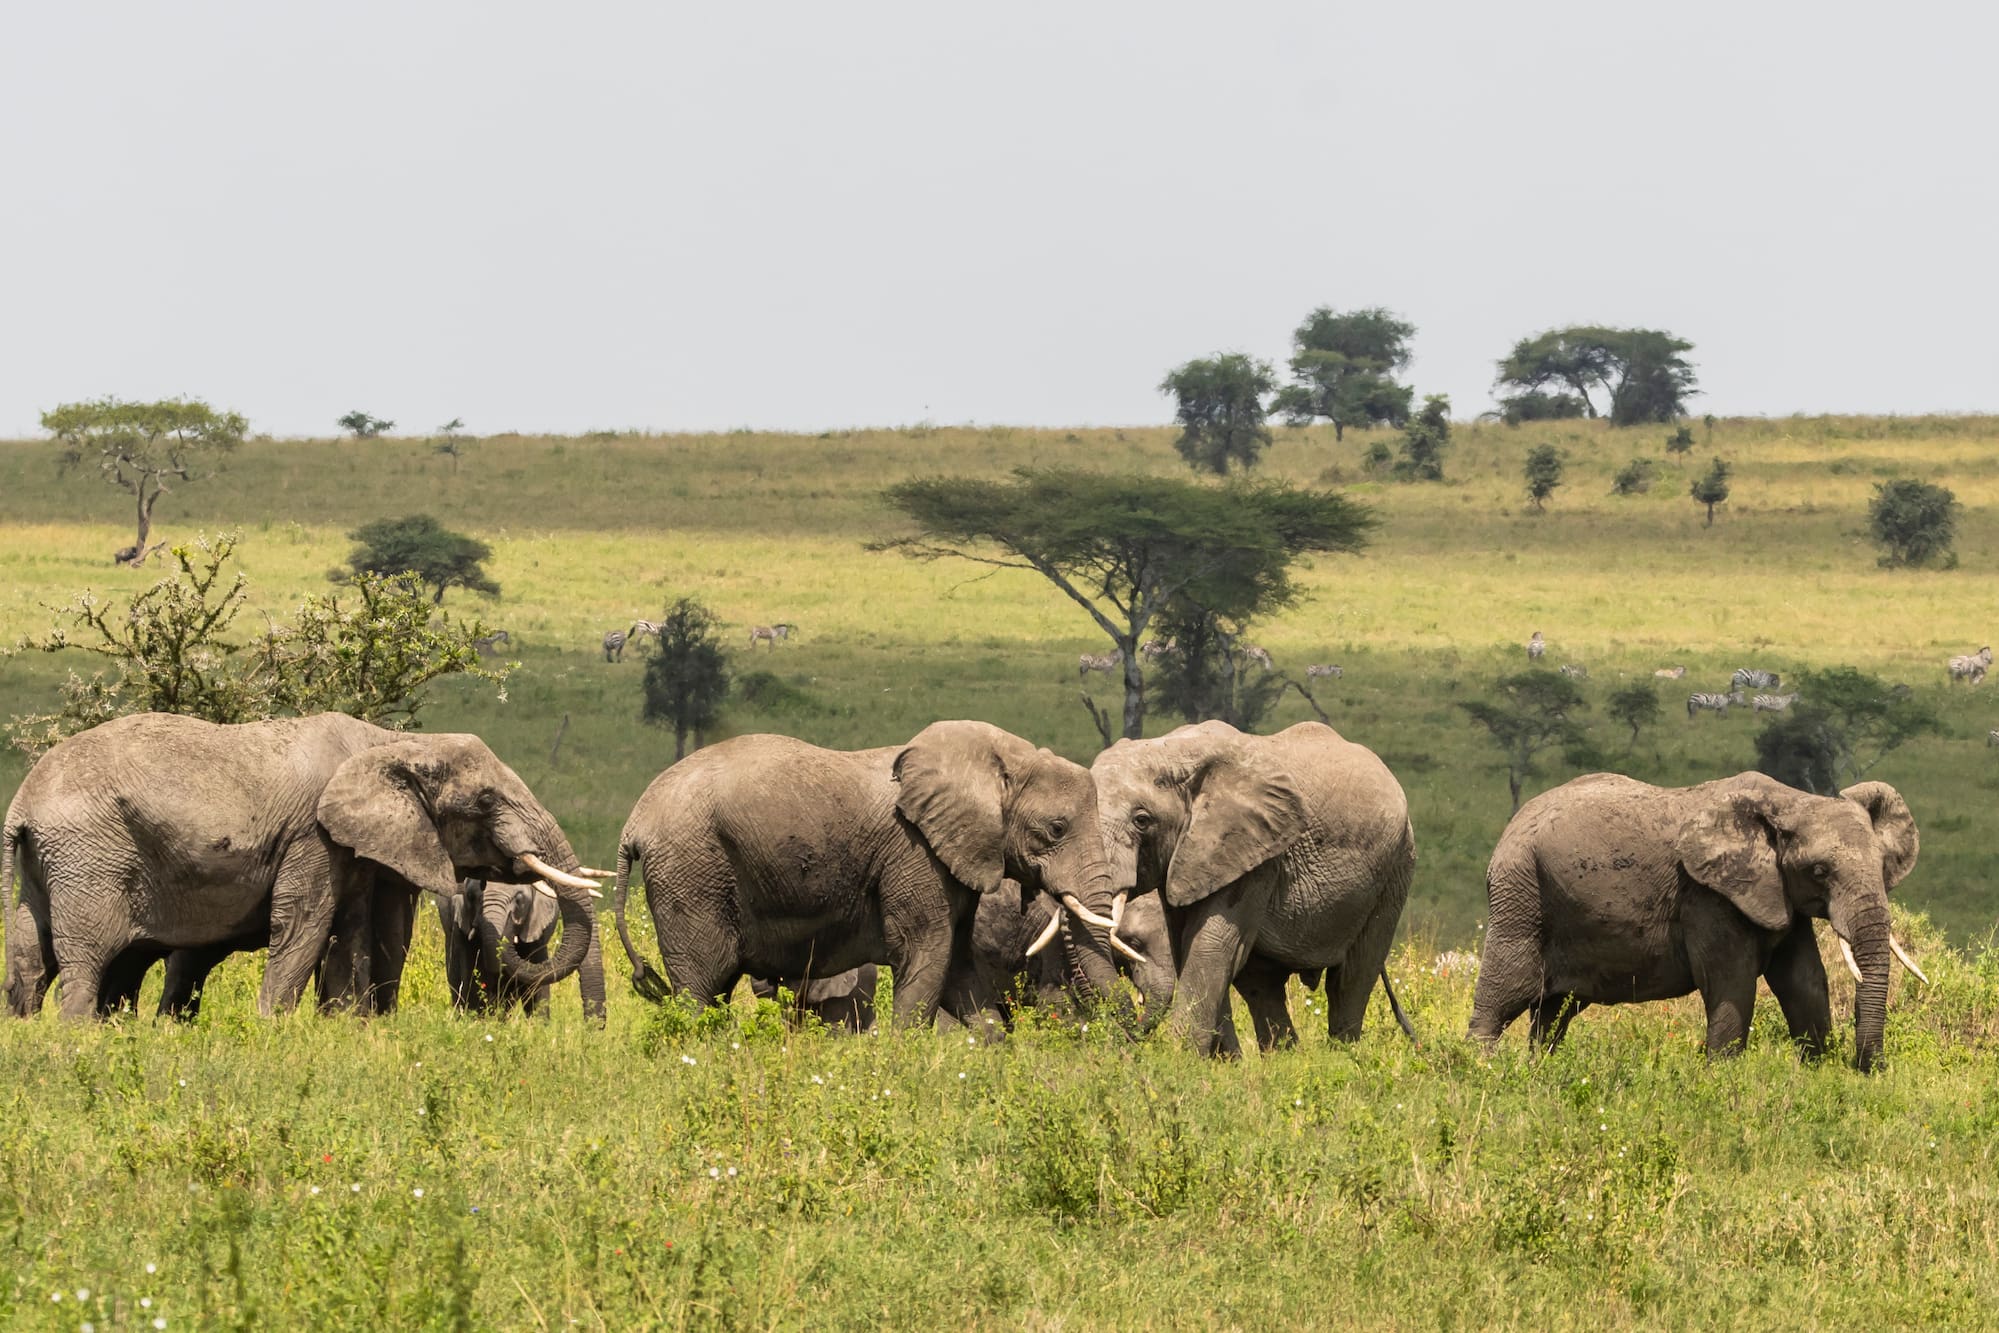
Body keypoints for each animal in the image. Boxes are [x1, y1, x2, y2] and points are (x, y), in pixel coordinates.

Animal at [612, 720, 1123, 1029]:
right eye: (1056, 829)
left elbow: (958, 967)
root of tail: (633, 823)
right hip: (691, 872)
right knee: (701, 986)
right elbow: (925, 954)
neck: (1000, 758)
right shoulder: (914, 854)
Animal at [1085, 721, 1417, 1057]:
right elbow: (1189, 947)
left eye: (1142, 820)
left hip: (1396, 869)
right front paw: (1220, 1062)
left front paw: (1182, 1059)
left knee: (1352, 976)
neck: (1172, 750)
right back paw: (1283, 1058)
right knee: (1262, 983)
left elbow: (1210, 946)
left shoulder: (1255, 854)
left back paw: (1342, 1056)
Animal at [1465, 772, 1922, 1071]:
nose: (1872, 1067)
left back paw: (1539, 1074)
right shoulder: (1708, 894)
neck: (1790, 800)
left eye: (1882, 865)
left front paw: (1817, 1073)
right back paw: (1479, 1071)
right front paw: (1722, 1080)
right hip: (1520, 893)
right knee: (1506, 992)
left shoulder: (1777, 895)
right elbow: (1731, 982)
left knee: (1555, 1011)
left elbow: (1804, 981)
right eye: (1820, 871)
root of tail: (1511, 827)